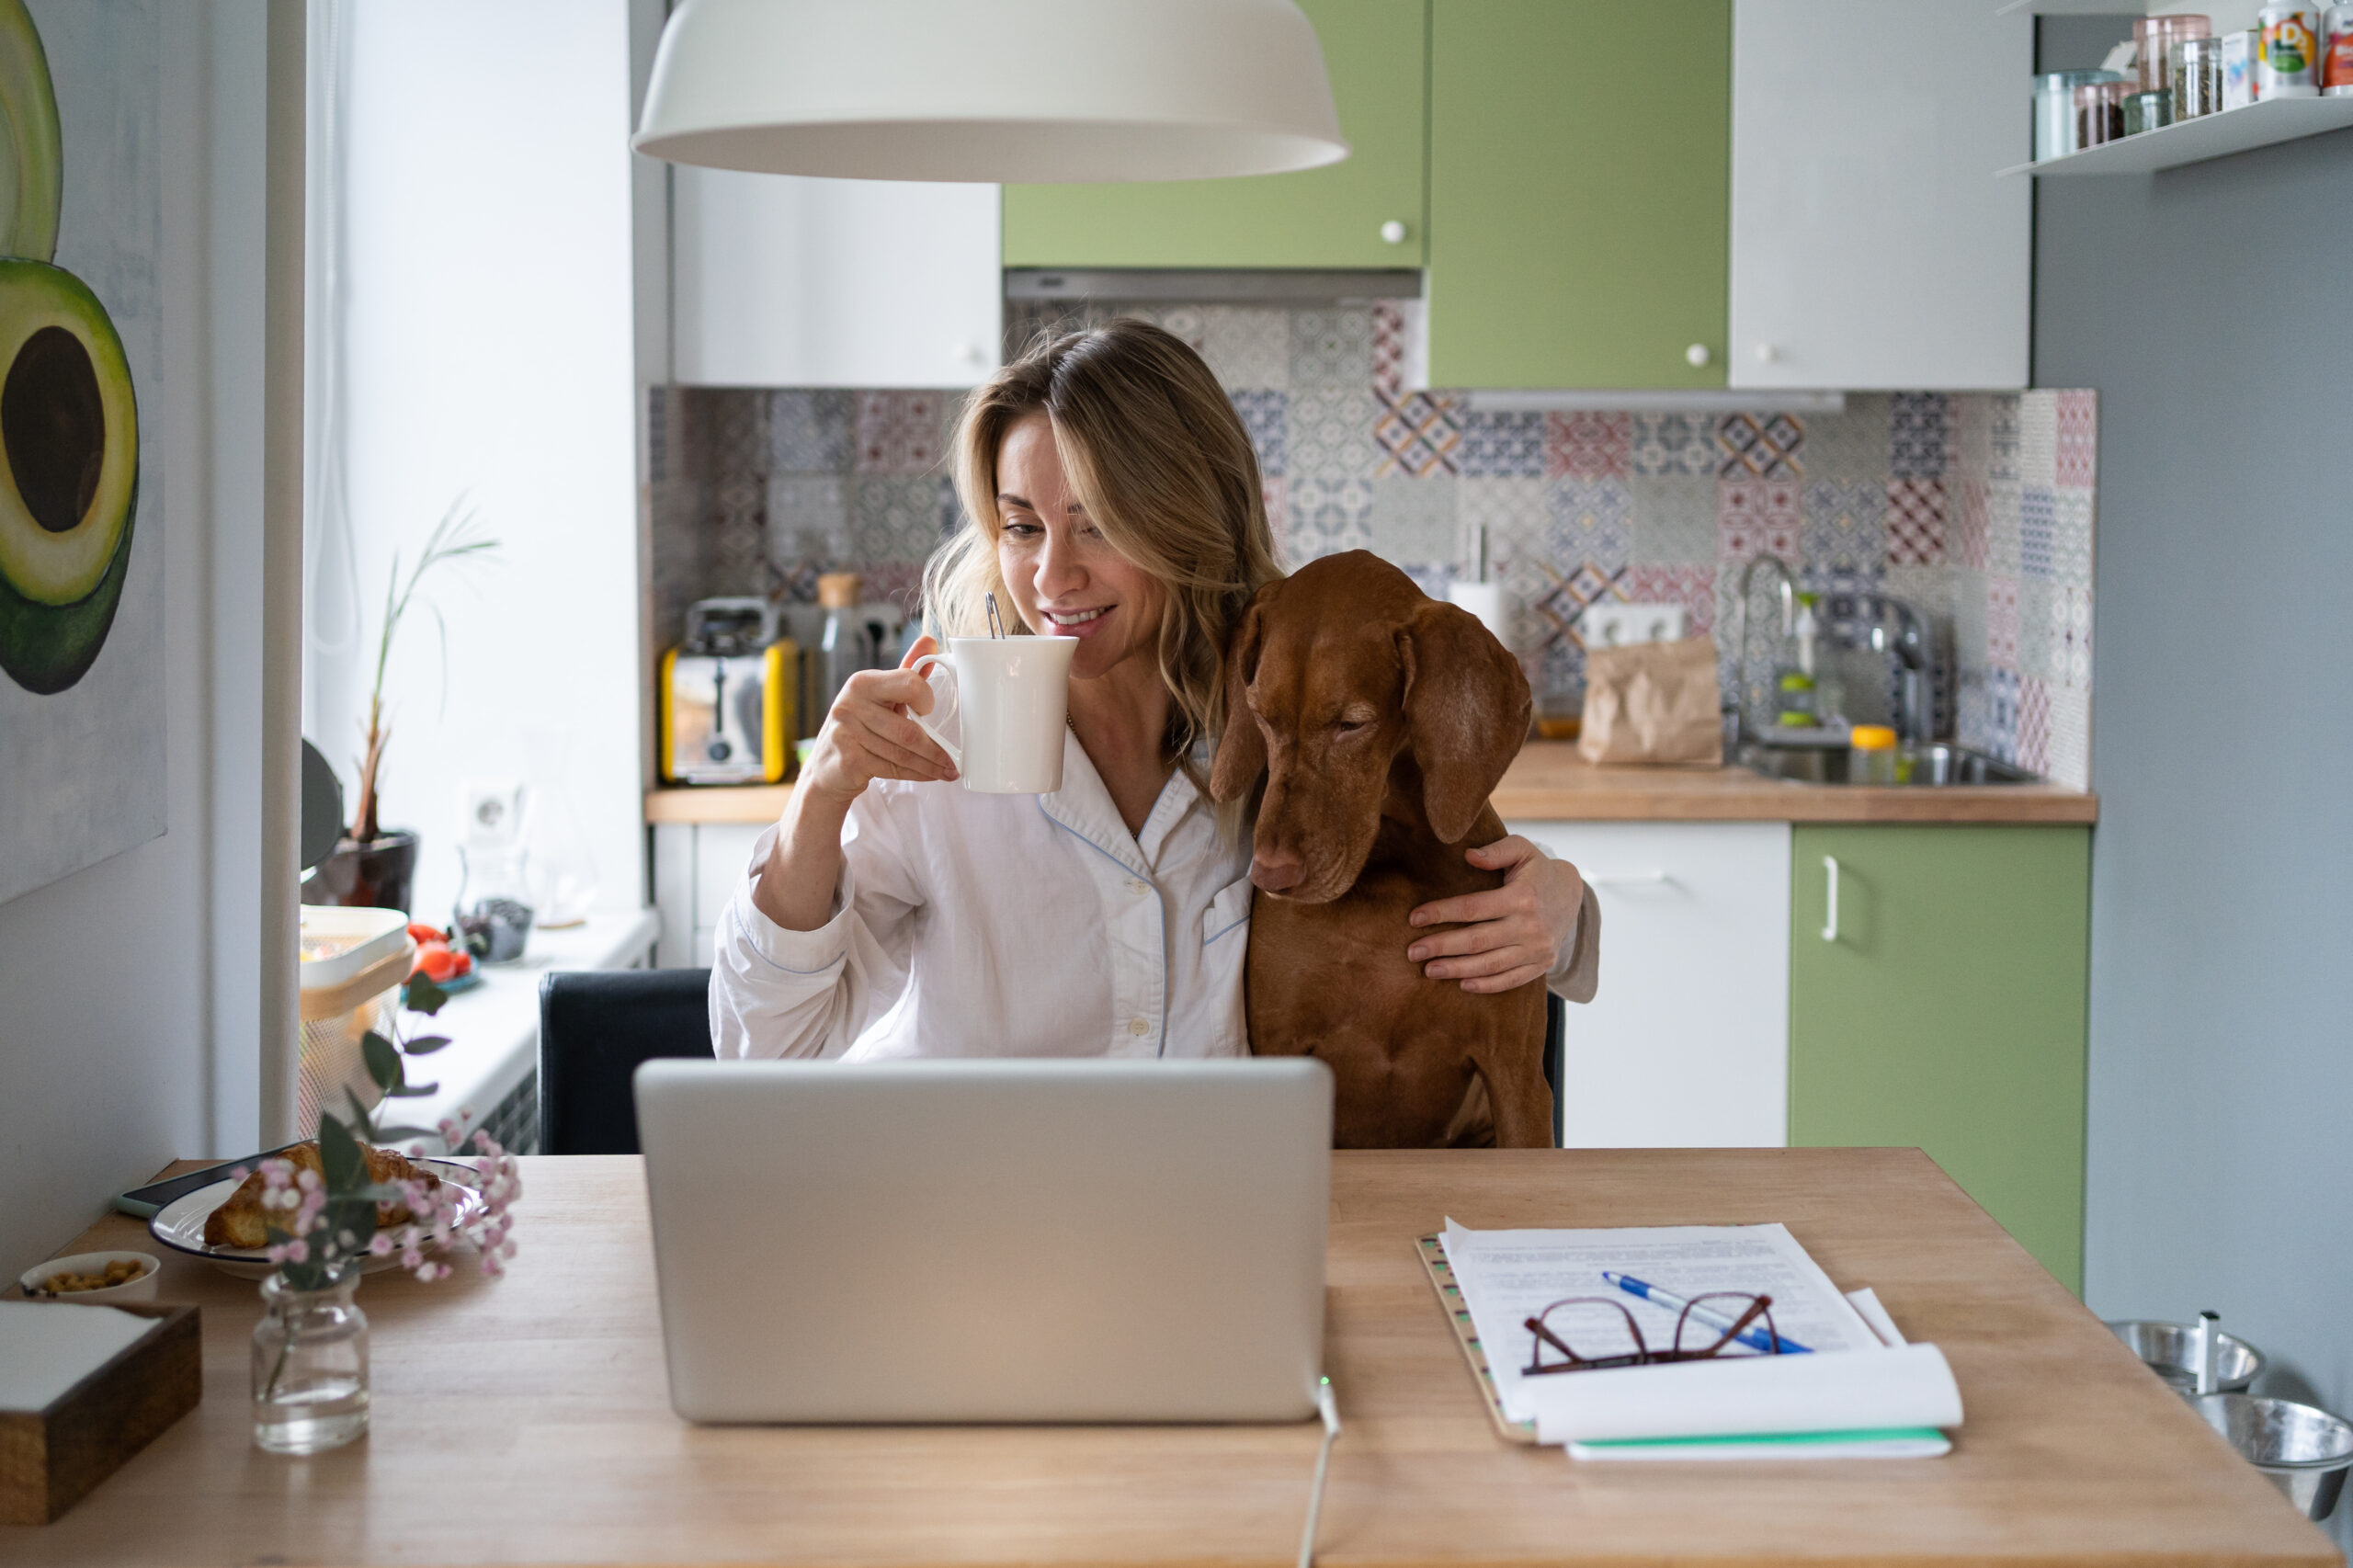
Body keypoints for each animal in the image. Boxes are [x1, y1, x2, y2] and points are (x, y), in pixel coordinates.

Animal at [1204, 555, 1552, 1143]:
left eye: (1351, 724)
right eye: (1262, 715)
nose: (1270, 876)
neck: (1391, 870)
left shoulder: (1518, 1080)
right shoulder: (1278, 1049)